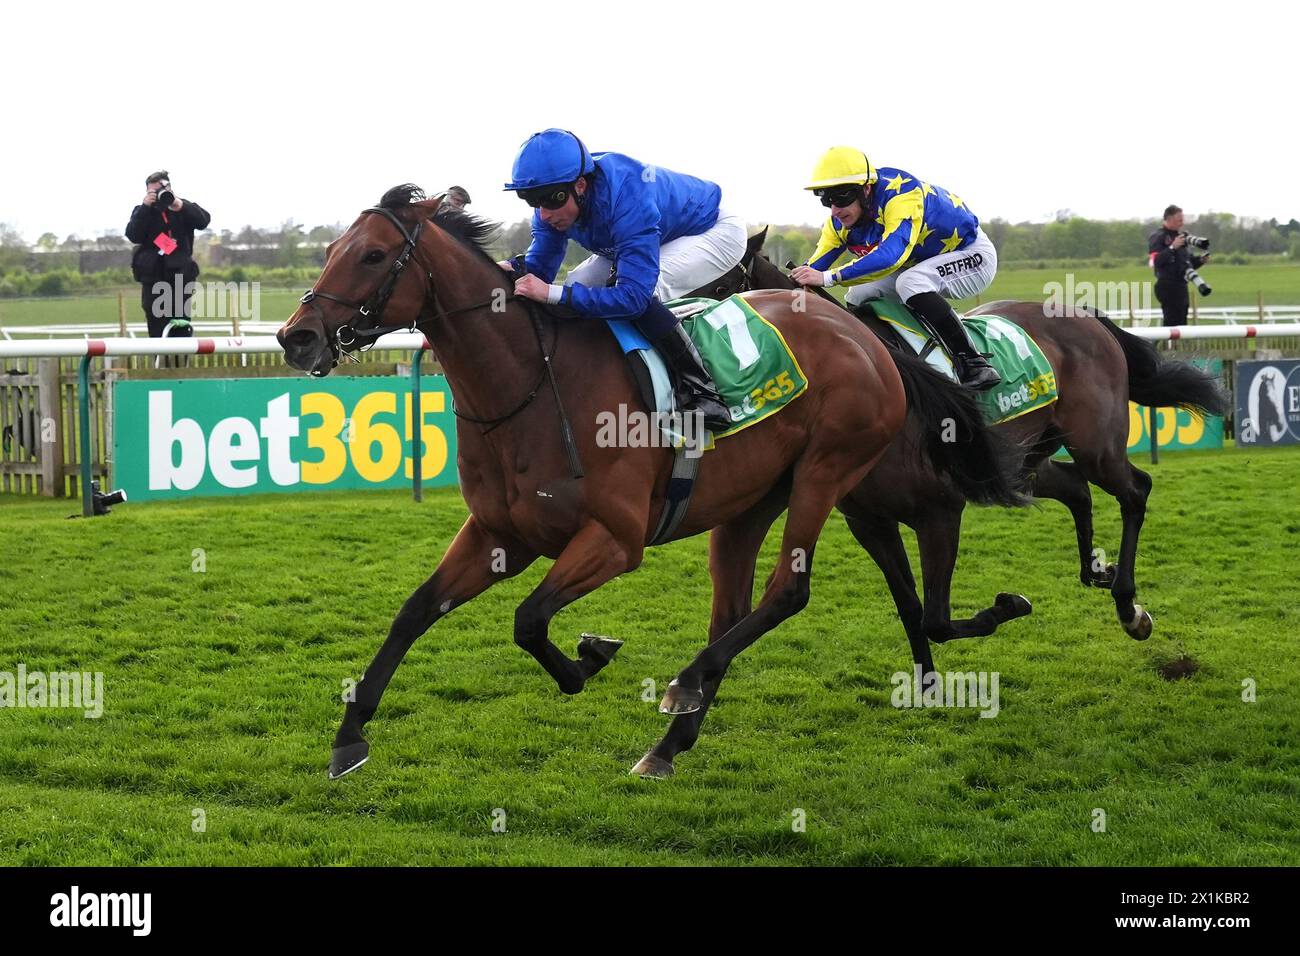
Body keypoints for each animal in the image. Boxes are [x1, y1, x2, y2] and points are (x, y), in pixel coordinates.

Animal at [274, 187, 1024, 780]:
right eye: (333, 247)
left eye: (373, 256)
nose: (295, 337)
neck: (531, 384)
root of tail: (867, 339)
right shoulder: (498, 534)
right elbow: (416, 609)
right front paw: (349, 738)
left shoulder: (615, 539)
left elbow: (529, 619)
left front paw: (589, 657)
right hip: (751, 501)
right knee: (733, 608)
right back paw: (670, 742)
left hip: (828, 469)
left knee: (789, 592)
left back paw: (684, 687)